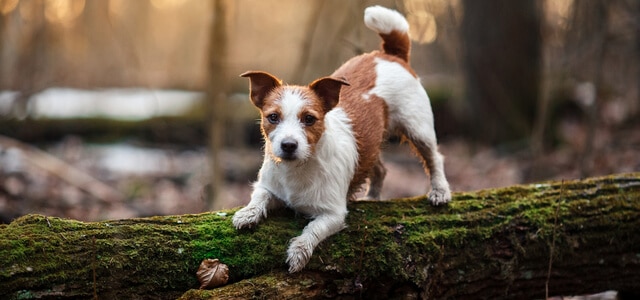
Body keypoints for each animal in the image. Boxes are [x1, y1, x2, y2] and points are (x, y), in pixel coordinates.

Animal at [234, 5, 450, 272]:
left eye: (309, 119)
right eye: (273, 117)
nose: (288, 145)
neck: (298, 169)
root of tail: (389, 55)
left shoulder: (333, 214)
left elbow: (313, 229)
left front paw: (298, 252)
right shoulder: (268, 187)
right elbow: (259, 197)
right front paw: (247, 213)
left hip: (418, 128)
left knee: (434, 158)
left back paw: (440, 191)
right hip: (371, 143)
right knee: (380, 169)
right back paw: (372, 197)